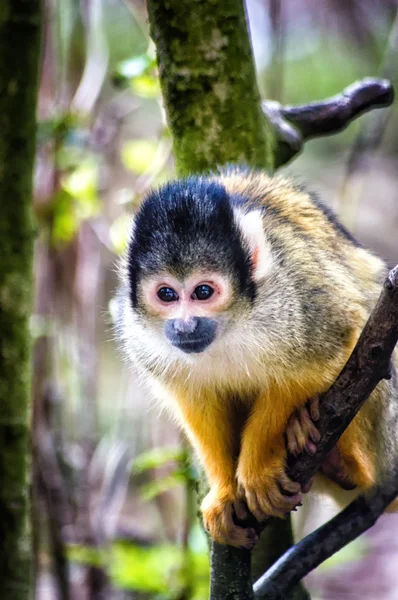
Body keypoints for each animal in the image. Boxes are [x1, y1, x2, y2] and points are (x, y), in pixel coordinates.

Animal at [117, 168, 398, 548]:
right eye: (166, 294)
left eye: (203, 291)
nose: (184, 325)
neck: (231, 323)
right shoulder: (139, 337)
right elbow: (196, 401)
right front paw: (225, 492)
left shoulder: (297, 297)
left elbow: (325, 353)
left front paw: (259, 469)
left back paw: (343, 460)